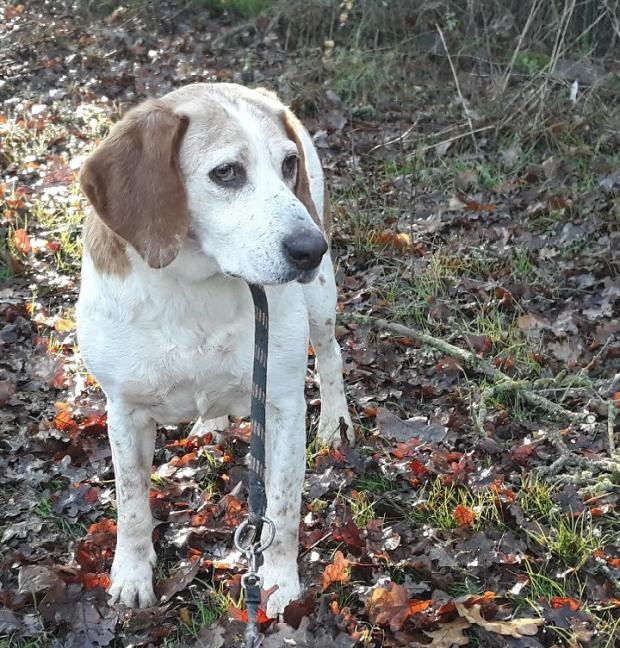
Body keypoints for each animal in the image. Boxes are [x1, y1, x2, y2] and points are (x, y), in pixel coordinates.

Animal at [75, 83, 352, 616]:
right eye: (226, 172)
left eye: (288, 164)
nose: (312, 248)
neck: (192, 287)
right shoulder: (124, 411)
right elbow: (132, 504)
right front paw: (132, 575)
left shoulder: (283, 407)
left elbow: (282, 509)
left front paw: (278, 585)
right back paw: (211, 423)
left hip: (321, 303)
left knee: (331, 357)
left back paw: (335, 422)